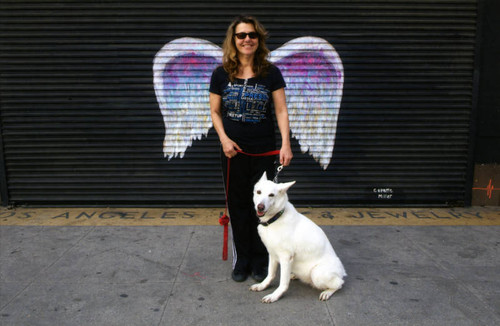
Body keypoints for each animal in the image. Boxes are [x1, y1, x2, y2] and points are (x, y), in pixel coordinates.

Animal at [252, 173, 346, 304]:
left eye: (271, 195)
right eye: (259, 192)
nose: (260, 207)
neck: (275, 218)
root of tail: (342, 272)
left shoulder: (286, 257)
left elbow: (283, 283)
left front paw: (275, 295)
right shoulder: (272, 254)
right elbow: (270, 274)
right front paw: (263, 285)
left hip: (316, 273)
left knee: (339, 284)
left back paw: (327, 292)